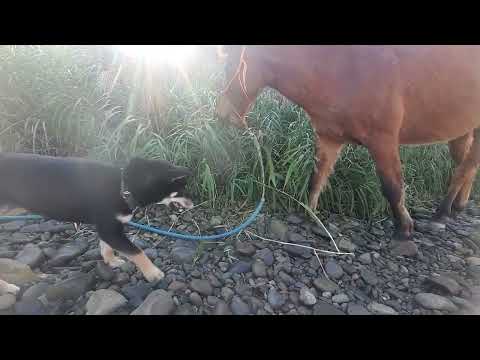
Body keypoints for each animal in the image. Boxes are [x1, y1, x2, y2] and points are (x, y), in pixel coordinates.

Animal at [0, 153, 193, 294]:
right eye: (182, 190)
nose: (193, 204)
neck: (123, 188)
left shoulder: (108, 228)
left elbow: (106, 247)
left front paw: (112, 261)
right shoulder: (110, 230)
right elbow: (137, 252)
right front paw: (153, 273)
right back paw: (8, 288)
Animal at [216, 45, 480, 242]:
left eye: (229, 65)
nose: (221, 115)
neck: (343, 71)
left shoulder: (383, 141)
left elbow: (392, 187)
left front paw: (404, 227)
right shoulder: (329, 139)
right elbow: (317, 177)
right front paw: (310, 214)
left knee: (465, 167)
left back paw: (443, 211)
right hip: (462, 131)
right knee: (467, 166)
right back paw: (457, 206)